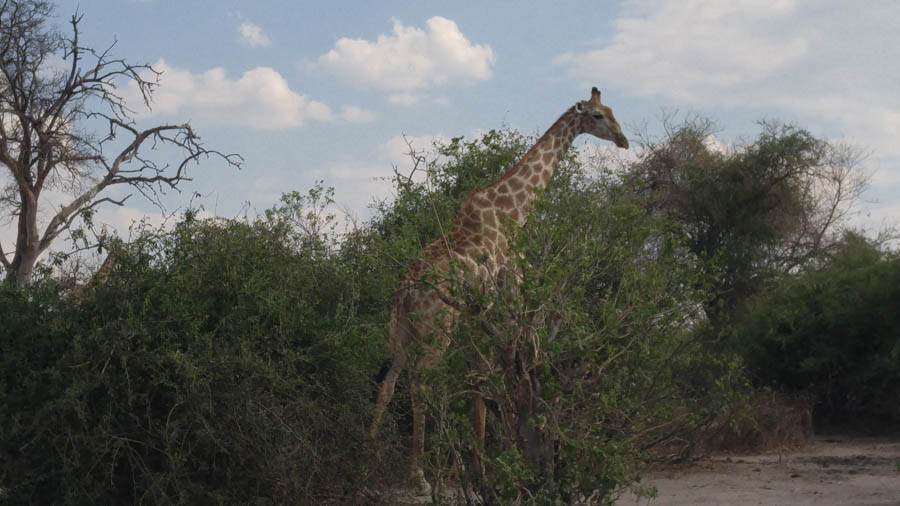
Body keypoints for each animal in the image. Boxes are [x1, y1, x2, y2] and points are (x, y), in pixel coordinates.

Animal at [368, 88, 624, 494]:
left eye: (614, 111)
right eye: (598, 116)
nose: (623, 139)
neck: (514, 208)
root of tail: (403, 292)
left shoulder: (479, 309)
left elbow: (481, 378)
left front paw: (483, 464)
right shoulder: (511, 280)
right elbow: (509, 363)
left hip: (403, 332)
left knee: (388, 384)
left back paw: (365, 461)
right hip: (437, 329)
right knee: (420, 383)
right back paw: (419, 476)